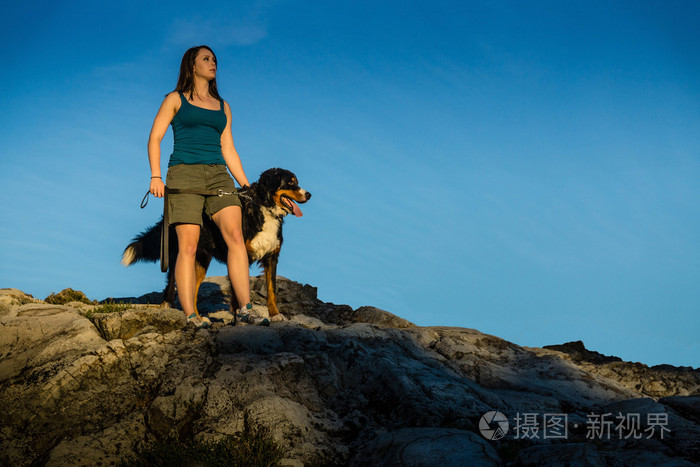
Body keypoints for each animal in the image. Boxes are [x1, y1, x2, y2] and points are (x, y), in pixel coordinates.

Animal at [121, 168, 312, 322]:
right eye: (290, 182)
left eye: (297, 182)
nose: (309, 194)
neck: (264, 206)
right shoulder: (238, 250)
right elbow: (237, 289)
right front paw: (240, 317)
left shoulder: (272, 256)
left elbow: (272, 291)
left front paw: (275, 314)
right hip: (180, 252)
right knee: (172, 282)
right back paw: (170, 307)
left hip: (201, 260)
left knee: (192, 290)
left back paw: (198, 317)